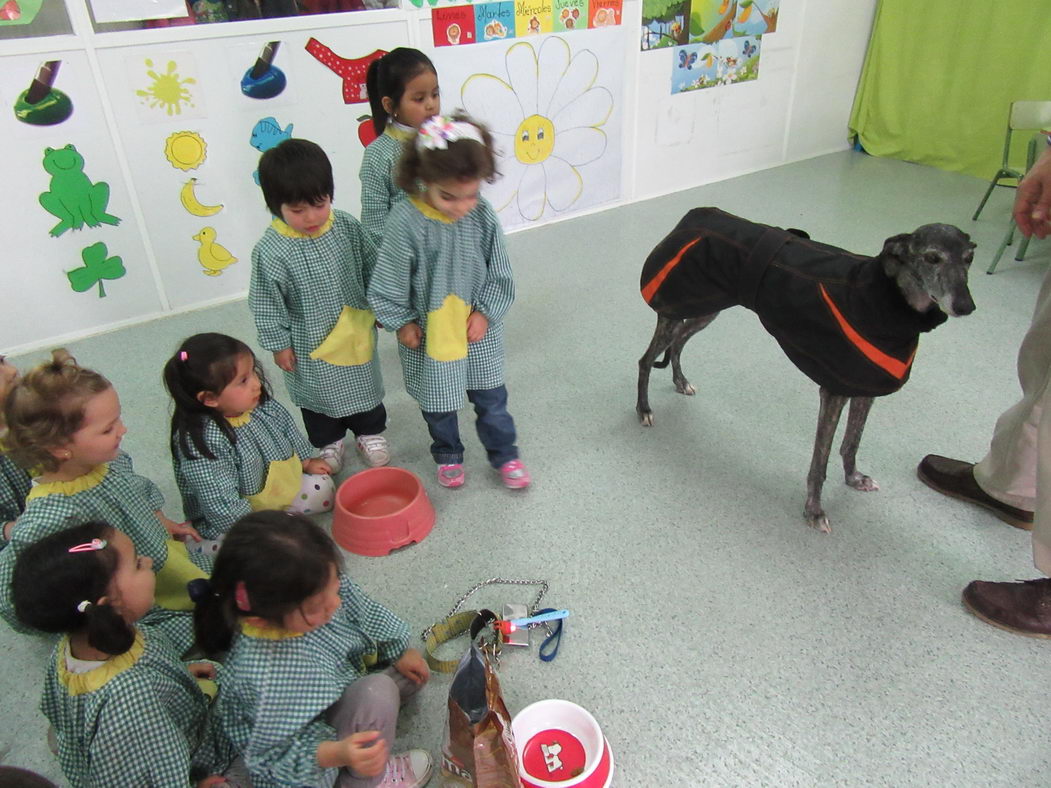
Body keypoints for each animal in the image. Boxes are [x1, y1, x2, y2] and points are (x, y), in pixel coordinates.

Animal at [639, 206, 975, 533]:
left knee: (679, 341)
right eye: (932, 257)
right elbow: (819, 462)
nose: (966, 306)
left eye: (969, 257)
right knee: (646, 359)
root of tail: (692, 216)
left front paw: (853, 478)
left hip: (705, 307)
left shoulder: (865, 388)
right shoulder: (833, 392)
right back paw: (644, 409)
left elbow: (851, 443)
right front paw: (814, 510)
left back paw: (680, 381)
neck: (886, 300)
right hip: (677, 304)